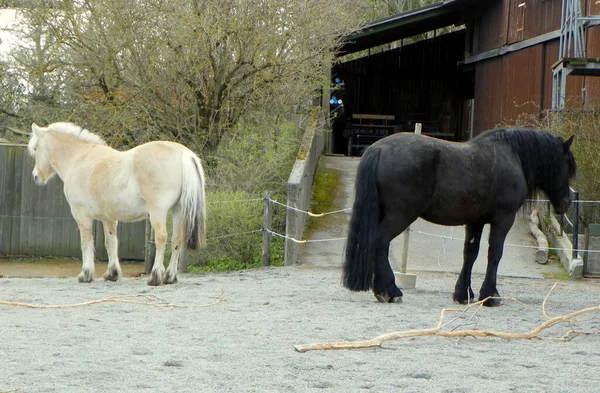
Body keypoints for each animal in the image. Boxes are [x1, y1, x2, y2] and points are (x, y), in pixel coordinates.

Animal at [28, 122, 206, 284]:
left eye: (35, 148)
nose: (36, 177)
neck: (79, 158)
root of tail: (183, 153)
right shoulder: (109, 218)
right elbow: (111, 242)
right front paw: (112, 274)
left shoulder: (81, 216)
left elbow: (86, 243)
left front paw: (85, 274)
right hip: (178, 211)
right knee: (177, 240)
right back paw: (170, 277)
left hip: (158, 211)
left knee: (161, 238)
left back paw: (155, 277)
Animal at [344, 129, 576, 306]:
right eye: (568, 167)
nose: (567, 202)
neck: (512, 156)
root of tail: (378, 149)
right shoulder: (503, 220)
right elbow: (494, 254)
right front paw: (490, 295)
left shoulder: (475, 222)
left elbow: (470, 254)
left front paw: (463, 294)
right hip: (400, 216)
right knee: (379, 242)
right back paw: (390, 291)